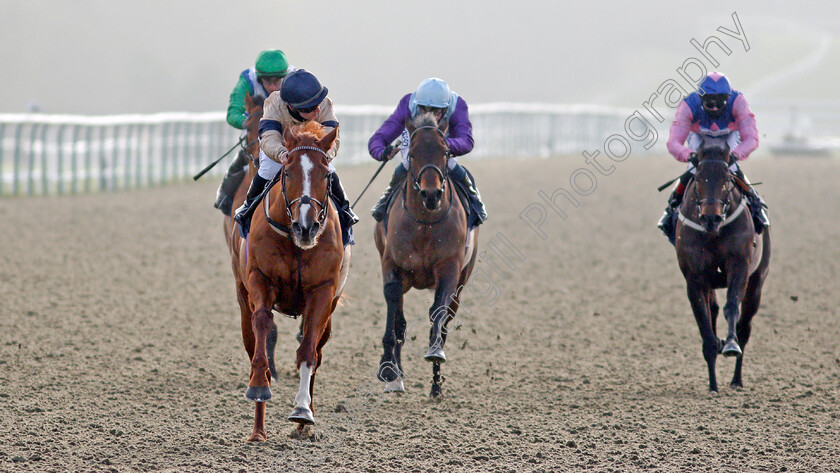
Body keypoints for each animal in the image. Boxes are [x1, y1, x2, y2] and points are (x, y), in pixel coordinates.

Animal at [228, 121, 350, 438]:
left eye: (326, 174)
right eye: (287, 171)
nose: (306, 227)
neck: (295, 243)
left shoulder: (323, 292)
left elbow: (308, 349)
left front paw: (303, 411)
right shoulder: (260, 279)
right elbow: (262, 324)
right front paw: (259, 385)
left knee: (317, 350)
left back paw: (302, 424)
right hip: (241, 295)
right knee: (251, 340)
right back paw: (258, 429)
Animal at [374, 112, 480, 396]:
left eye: (445, 152)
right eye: (412, 154)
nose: (431, 194)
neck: (424, 222)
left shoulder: (449, 268)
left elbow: (438, 311)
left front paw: (435, 352)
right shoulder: (392, 264)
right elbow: (394, 311)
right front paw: (388, 368)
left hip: (463, 281)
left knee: (446, 319)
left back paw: (436, 385)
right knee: (400, 318)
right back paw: (397, 378)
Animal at [676, 138, 776, 392]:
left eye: (727, 179)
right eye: (698, 178)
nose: (711, 217)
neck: (714, 232)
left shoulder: (739, 266)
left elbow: (732, 307)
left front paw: (730, 345)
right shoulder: (695, 278)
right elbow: (704, 323)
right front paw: (712, 384)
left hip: (757, 281)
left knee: (744, 327)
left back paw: (736, 379)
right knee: (712, 310)